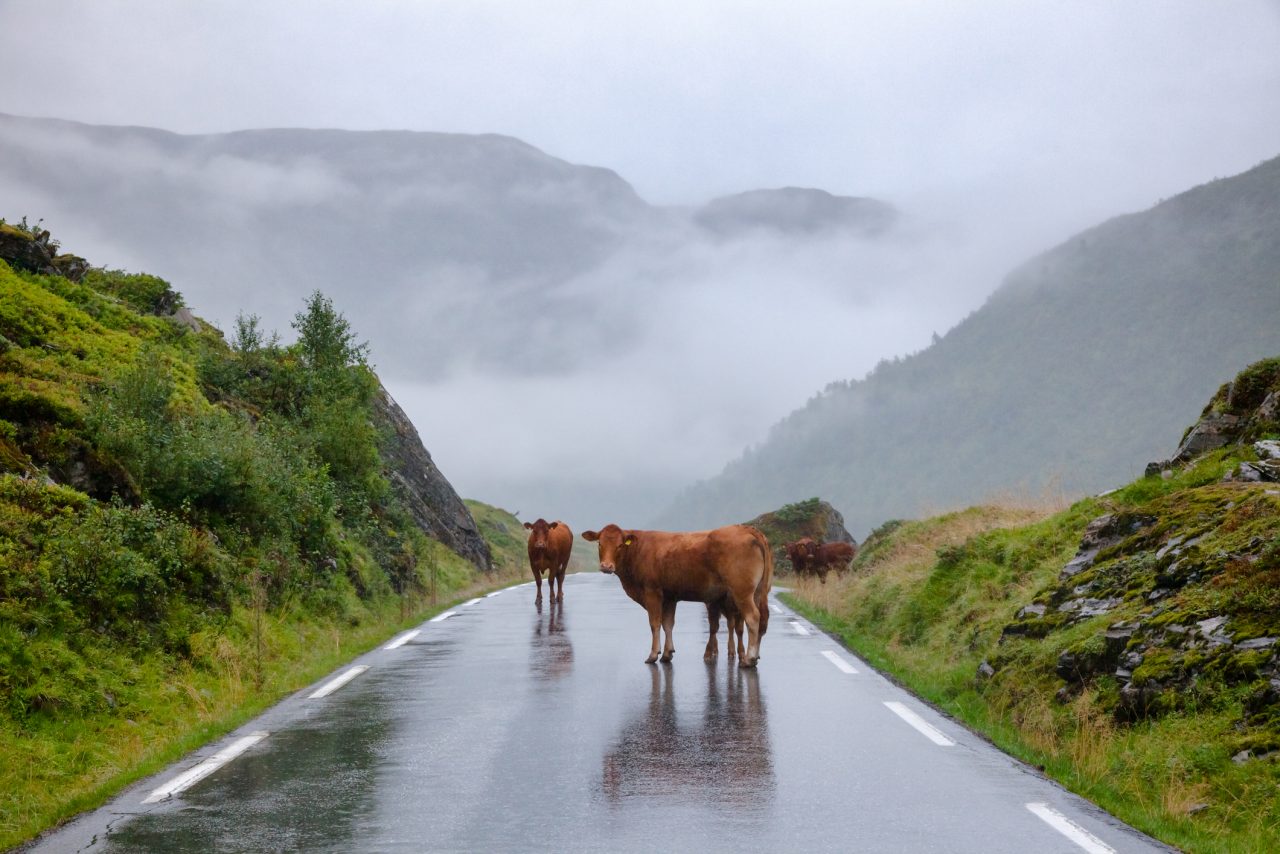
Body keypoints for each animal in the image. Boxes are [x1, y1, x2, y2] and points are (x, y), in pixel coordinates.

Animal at [581, 522, 768, 665]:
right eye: (600, 543)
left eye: (620, 545)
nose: (606, 566)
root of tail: (746, 528)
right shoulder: (670, 597)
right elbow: (668, 624)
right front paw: (667, 653)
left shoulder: (652, 592)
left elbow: (655, 623)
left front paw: (653, 654)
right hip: (756, 592)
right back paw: (754, 655)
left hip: (741, 592)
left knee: (752, 617)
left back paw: (749, 659)